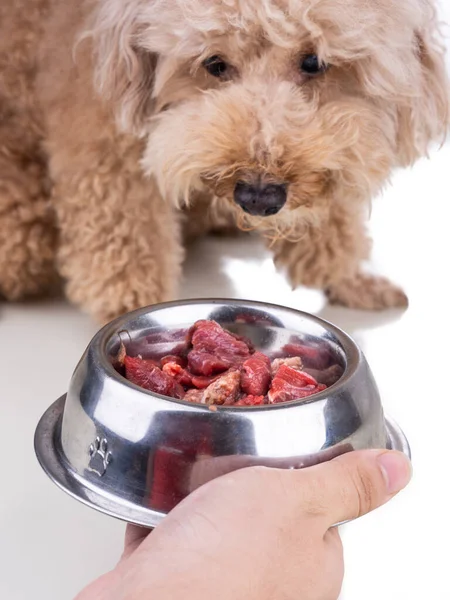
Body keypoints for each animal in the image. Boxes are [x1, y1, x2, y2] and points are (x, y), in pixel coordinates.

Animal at [0, 0, 448, 324]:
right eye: (214, 64)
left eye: (313, 62)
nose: (257, 197)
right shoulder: (103, 131)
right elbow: (127, 238)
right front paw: (133, 312)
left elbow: (330, 218)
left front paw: (349, 279)